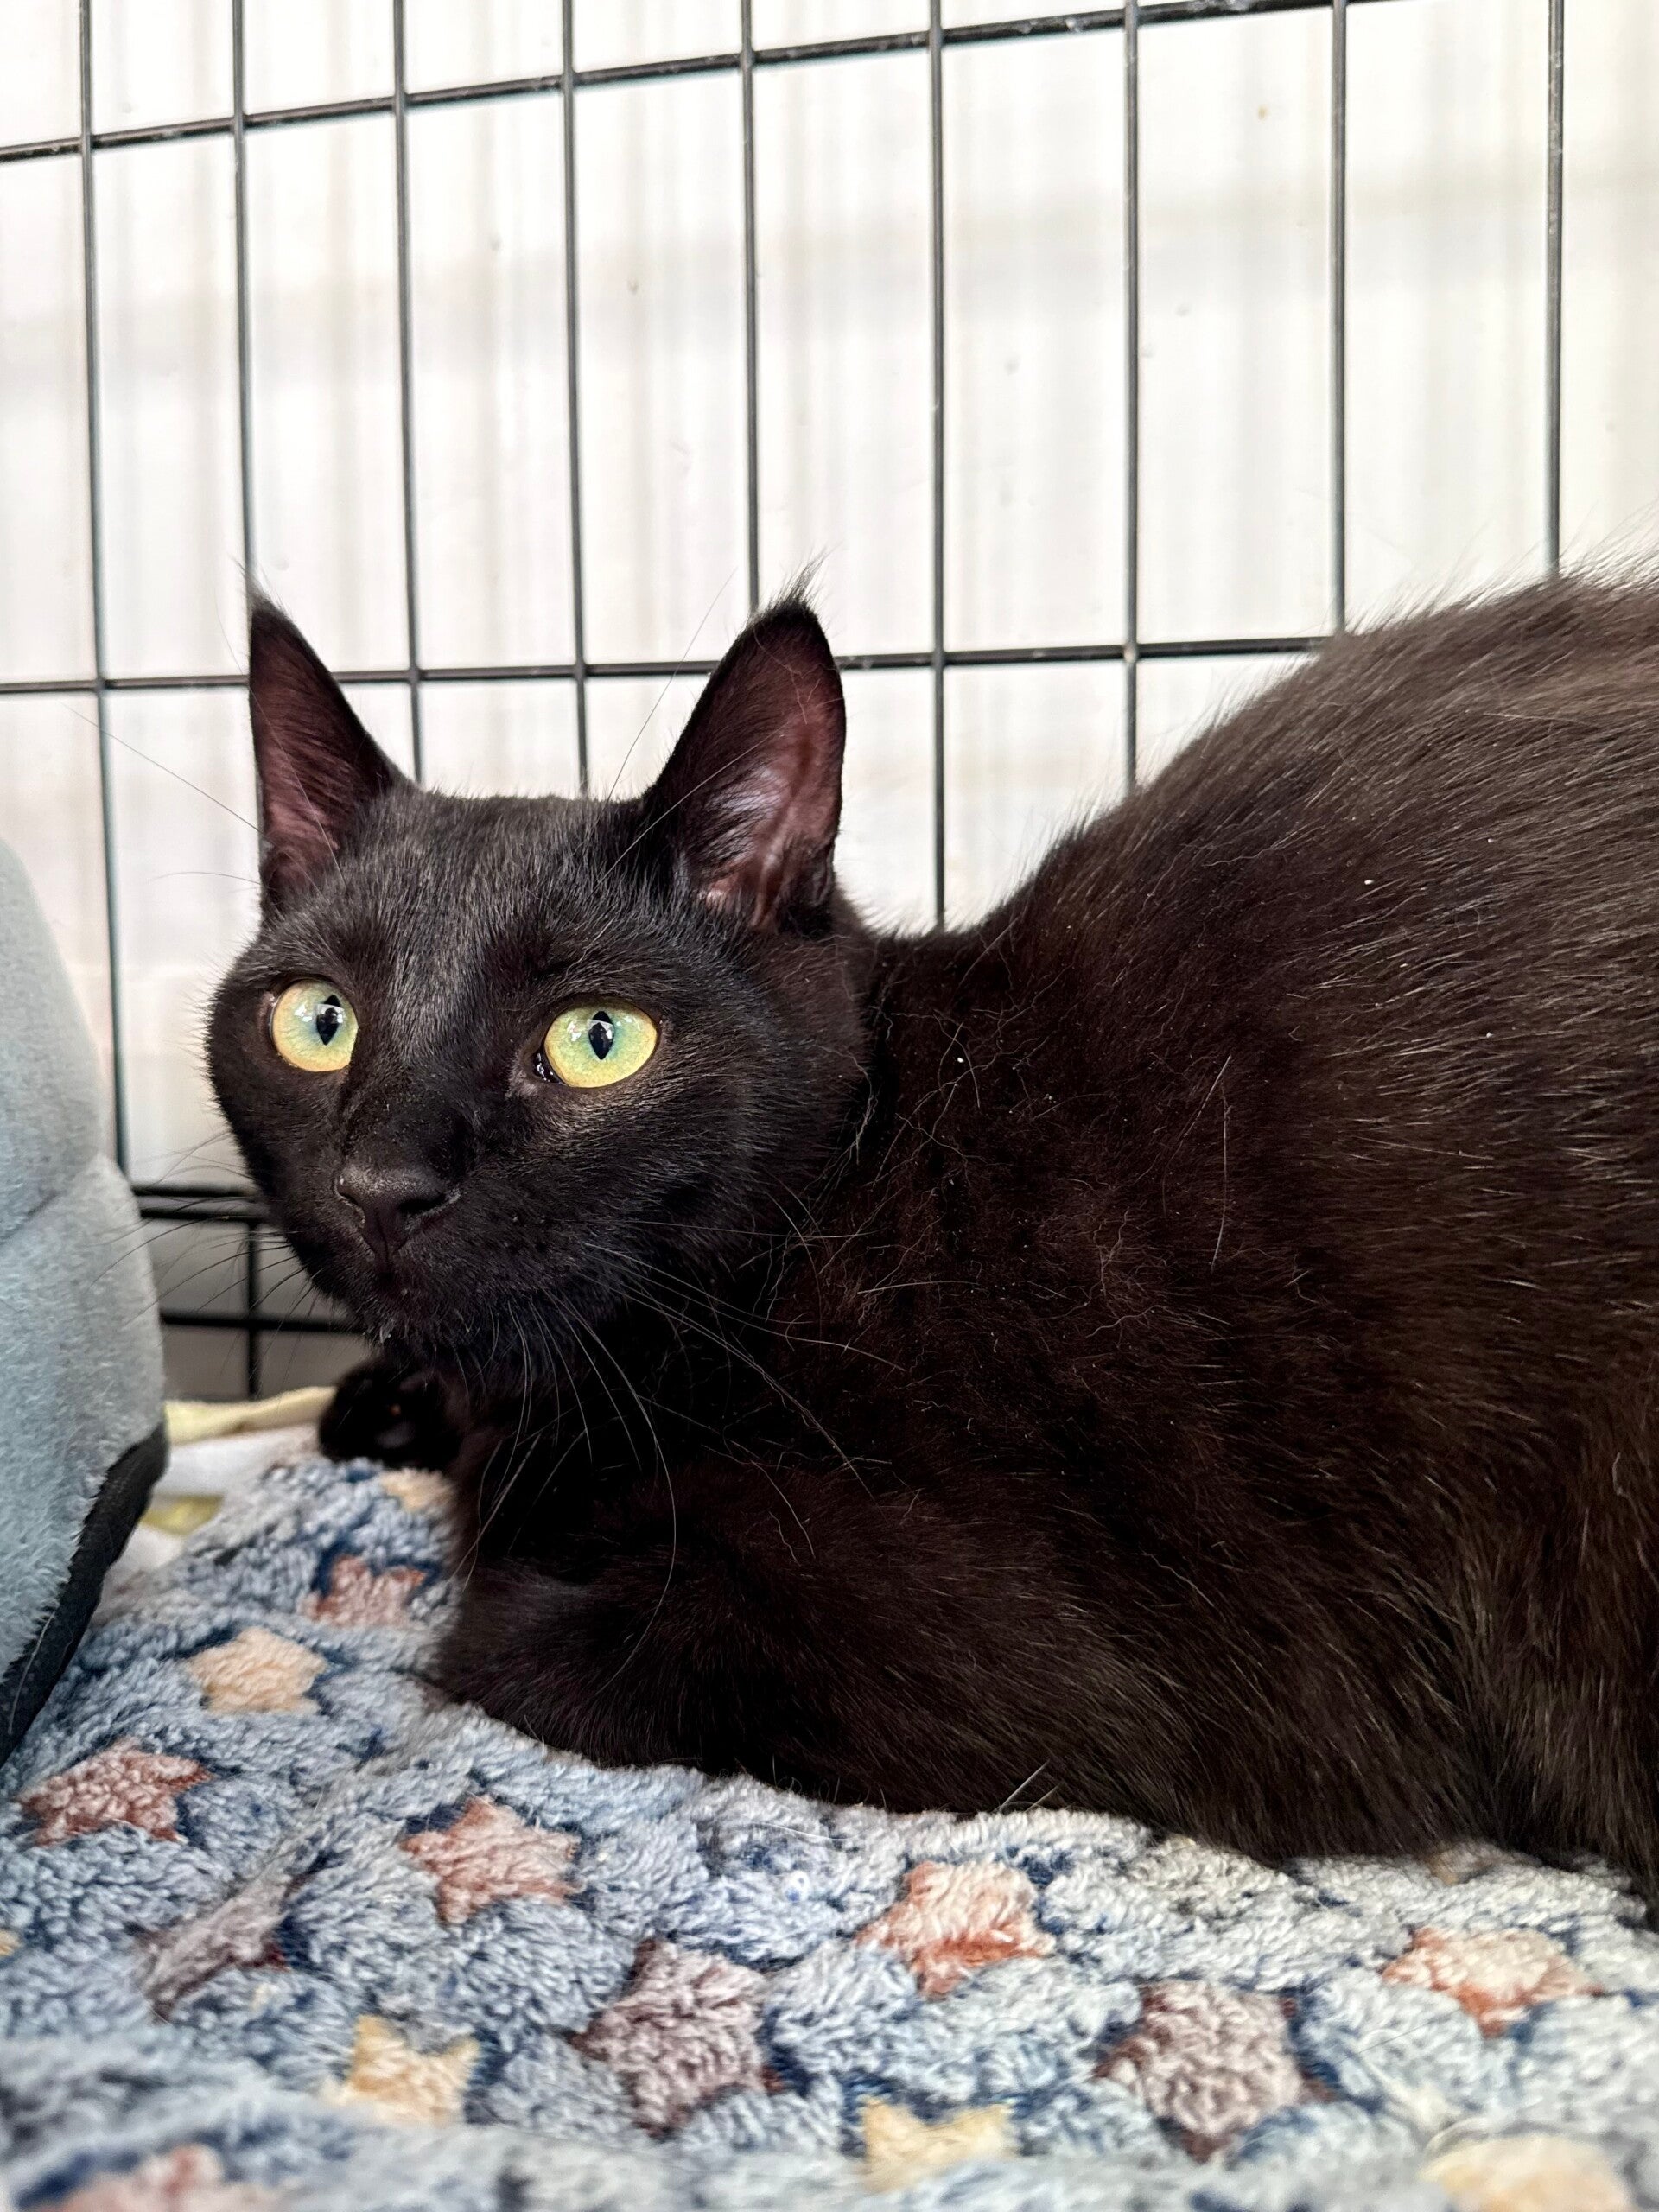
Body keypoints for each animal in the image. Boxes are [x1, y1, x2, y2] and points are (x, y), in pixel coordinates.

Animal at [212, 576, 1659, 1907]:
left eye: (597, 1040)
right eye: (318, 1021)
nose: (384, 1184)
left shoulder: (1089, 1674)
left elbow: (493, 1634)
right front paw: (390, 1409)